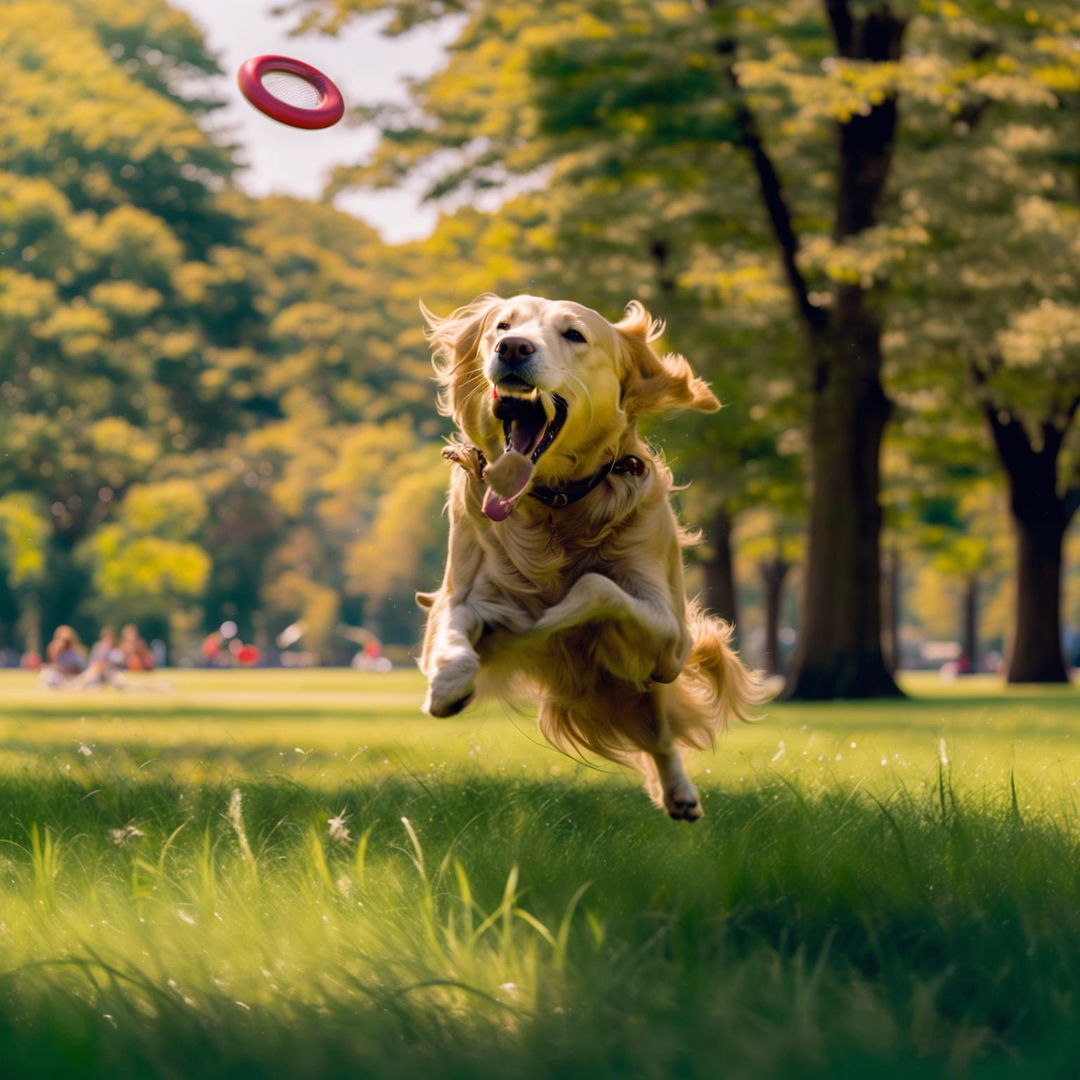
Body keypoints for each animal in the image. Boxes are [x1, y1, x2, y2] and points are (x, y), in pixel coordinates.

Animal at [412, 293, 760, 816]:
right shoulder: (460, 590)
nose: (513, 348)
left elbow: (595, 586)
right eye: (502, 326)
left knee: (660, 737)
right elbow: (453, 630)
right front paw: (448, 684)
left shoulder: (671, 636)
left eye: (574, 334)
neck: (556, 503)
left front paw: (536, 624)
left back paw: (679, 793)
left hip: (652, 681)